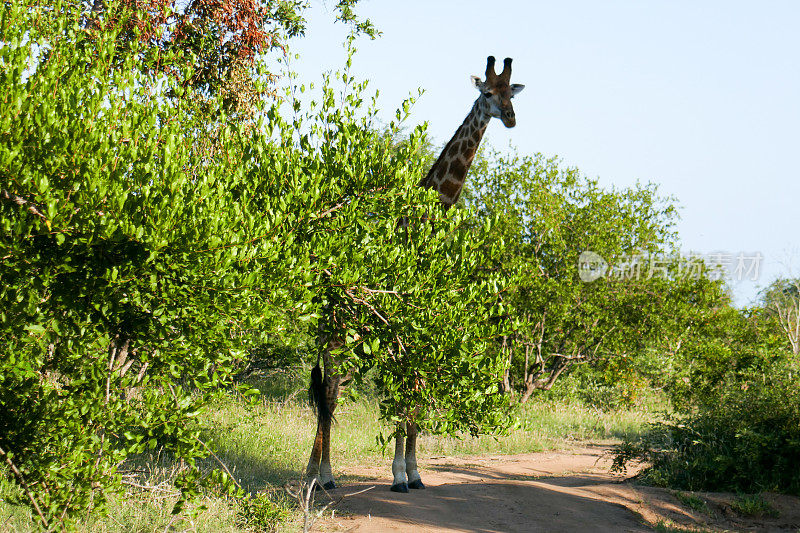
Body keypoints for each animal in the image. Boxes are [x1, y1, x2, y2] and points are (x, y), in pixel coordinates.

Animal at [306, 56, 524, 492]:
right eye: (487, 93)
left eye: (512, 92)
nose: (510, 118)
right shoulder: (402, 329)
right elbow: (404, 395)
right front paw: (398, 476)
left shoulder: (424, 329)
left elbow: (417, 396)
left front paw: (414, 471)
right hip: (339, 334)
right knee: (330, 392)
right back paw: (324, 476)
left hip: (352, 338)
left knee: (326, 392)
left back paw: (313, 470)